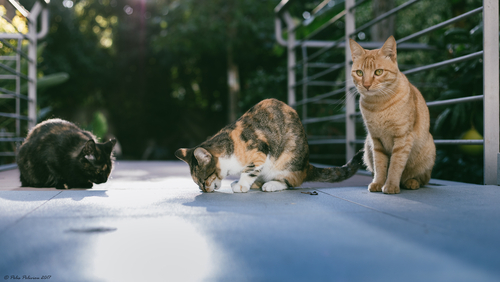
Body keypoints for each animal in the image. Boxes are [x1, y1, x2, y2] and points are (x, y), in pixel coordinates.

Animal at [176, 98, 364, 193]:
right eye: (197, 182)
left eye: (203, 180)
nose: (203, 190)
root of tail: (306, 165)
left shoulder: (260, 152)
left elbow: (249, 171)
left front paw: (242, 185)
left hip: (287, 162)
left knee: (291, 183)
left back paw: (271, 185)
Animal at [350, 35, 436, 194]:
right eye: (359, 73)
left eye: (378, 72)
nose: (366, 85)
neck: (378, 105)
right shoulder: (376, 139)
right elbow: (380, 165)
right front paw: (378, 183)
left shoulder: (403, 138)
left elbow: (395, 165)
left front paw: (390, 185)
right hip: (367, 146)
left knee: (422, 179)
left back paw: (411, 182)